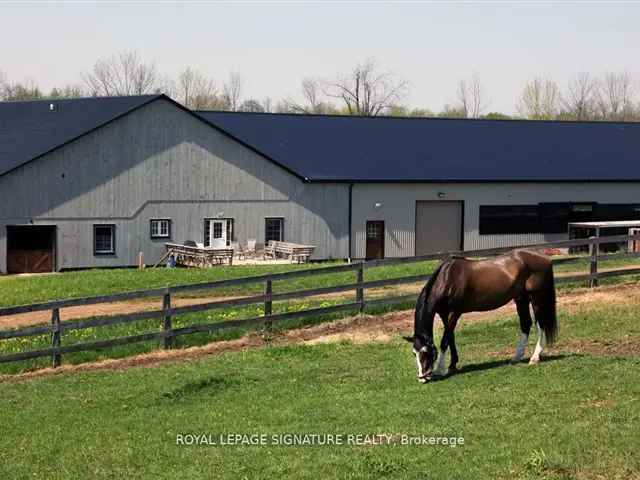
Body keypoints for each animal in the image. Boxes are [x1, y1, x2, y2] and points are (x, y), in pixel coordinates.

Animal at [408, 251, 556, 382]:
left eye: (425, 352)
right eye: (414, 353)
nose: (422, 378)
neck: (447, 278)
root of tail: (545, 258)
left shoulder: (454, 313)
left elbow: (445, 340)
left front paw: (440, 369)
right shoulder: (444, 314)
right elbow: (451, 338)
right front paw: (452, 365)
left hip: (536, 298)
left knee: (540, 324)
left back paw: (535, 357)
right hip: (521, 298)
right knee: (526, 324)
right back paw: (516, 357)